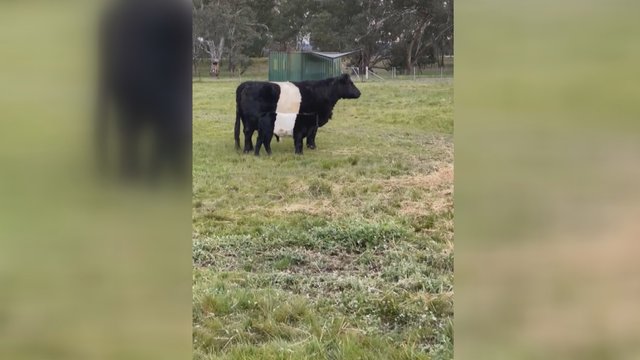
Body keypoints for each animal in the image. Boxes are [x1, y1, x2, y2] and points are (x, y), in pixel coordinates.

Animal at [232, 74, 360, 155]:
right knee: (248, 132)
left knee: (247, 133)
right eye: (350, 83)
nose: (359, 93)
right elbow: (312, 134)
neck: (324, 92)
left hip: (247, 120)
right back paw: (247, 150)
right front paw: (312, 146)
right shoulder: (315, 119)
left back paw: (250, 148)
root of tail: (246, 84)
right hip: (250, 120)